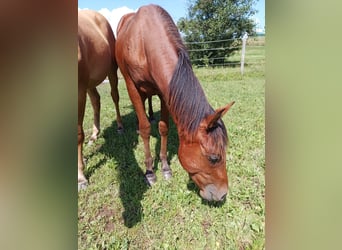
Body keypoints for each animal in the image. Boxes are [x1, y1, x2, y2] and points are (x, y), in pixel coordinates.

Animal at [79, 9, 124, 189]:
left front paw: (80, 177)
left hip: (110, 71)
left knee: (115, 96)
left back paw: (119, 126)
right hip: (89, 82)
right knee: (96, 100)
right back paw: (94, 135)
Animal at [116, 4, 234, 202]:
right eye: (213, 158)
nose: (222, 194)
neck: (145, 40)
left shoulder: (166, 92)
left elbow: (164, 128)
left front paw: (165, 167)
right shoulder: (132, 86)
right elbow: (146, 129)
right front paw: (150, 171)